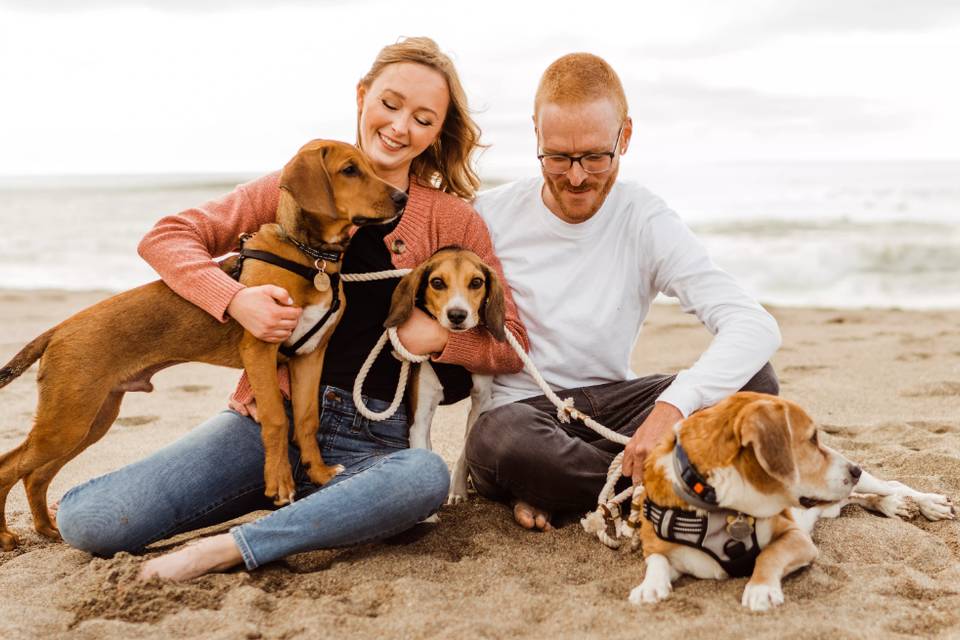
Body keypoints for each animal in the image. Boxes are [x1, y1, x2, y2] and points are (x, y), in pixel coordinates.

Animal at [384, 248, 510, 502]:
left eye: (476, 282)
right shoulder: (420, 412)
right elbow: (422, 450)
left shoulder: (480, 402)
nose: (457, 314)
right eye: (437, 282)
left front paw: (457, 490)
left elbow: (464, 453)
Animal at [632, 392, 952, 612]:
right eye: (811, 439)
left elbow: (769, 554)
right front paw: (649, 587)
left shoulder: (797, 538)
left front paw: (760, 589)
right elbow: (656, 560)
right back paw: (890, 504)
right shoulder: (659, 547)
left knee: (893, 484)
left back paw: (927, 502)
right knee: (857, 498)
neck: (719, 505)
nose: (855, 469)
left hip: (866, 481)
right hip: (837, 499)